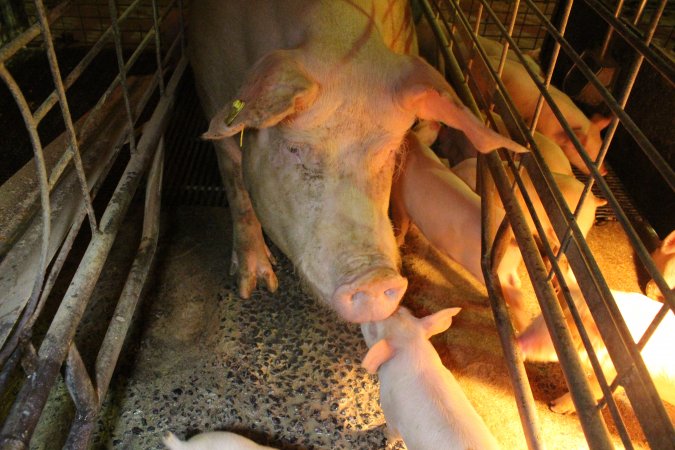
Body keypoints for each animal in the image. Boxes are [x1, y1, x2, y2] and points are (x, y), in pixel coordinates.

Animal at [187, 0, 524, 324]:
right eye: (295, 148)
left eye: (389, 151)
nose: (374, 280)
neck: (337, 36)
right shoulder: (209, 91)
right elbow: (238, 192)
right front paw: (256, 287)